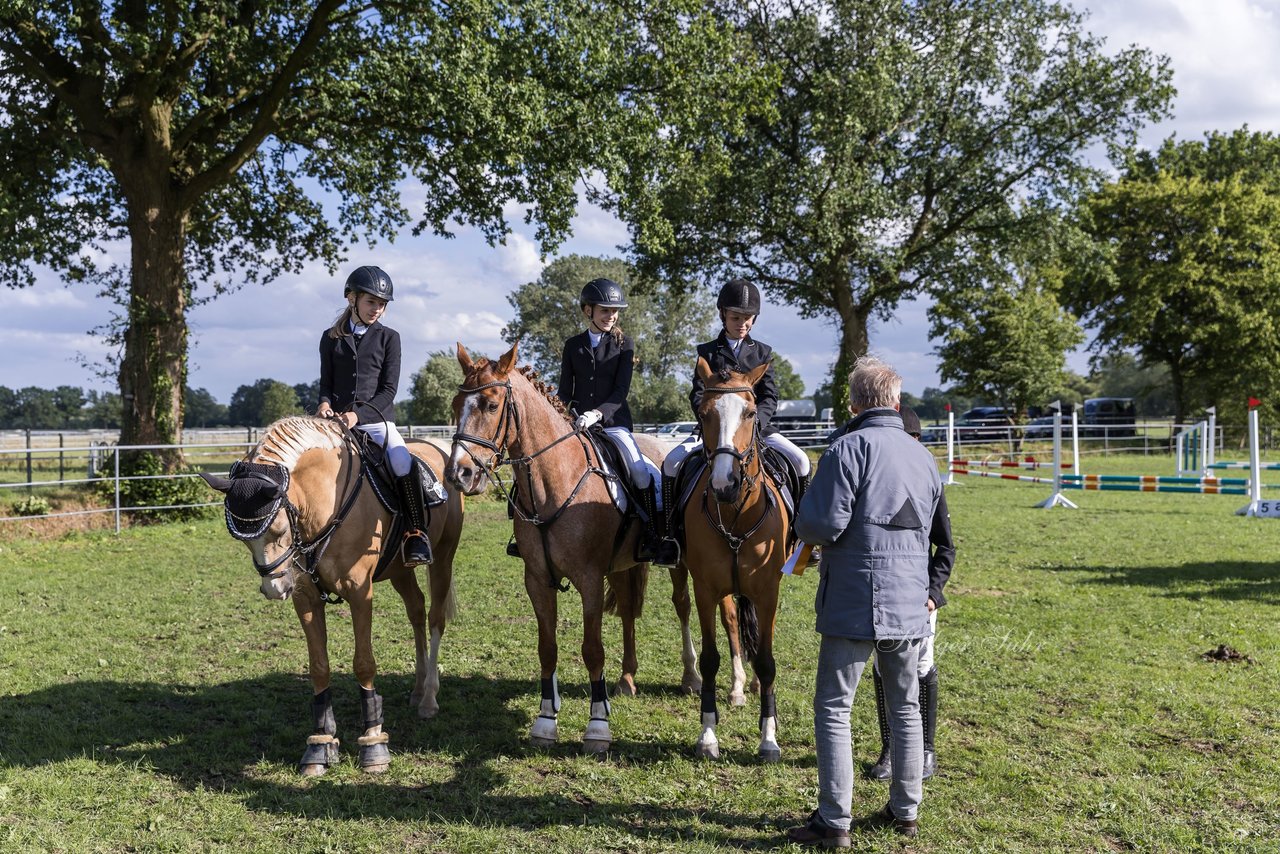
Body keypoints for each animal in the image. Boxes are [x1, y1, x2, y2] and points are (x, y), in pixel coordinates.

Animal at [197, 417, 463, 778]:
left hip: (443, 558)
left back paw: (429, 699)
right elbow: (319, 667)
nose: (275, 589)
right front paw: (320, 744)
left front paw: (374, 743)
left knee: (435, 618)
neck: (325, 503)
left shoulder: (360, 592)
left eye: (279, 529)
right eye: (242, 540)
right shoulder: (306, 598)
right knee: (416, 610)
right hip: (400, 570)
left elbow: (363, 663)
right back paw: (419, 687)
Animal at [442, 340, 701, 752]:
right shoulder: (537, 580)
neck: (554, 483)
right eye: (455, 405)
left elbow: (592, 649)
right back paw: (627, 679)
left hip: (678, 562)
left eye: (492, 406)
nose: (458, 474)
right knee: (628, 610)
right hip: (624, 564)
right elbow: (547, 649)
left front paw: (597, 728)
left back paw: (691, 677)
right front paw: (545, 722)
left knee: (682, 605)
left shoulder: (589, 579)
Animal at [686, 355, 793, 763]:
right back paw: (736, 688)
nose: (724, 484)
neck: (736, 514)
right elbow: (710, 658)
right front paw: (707, 736)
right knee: (732, 623)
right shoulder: (704, 588)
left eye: (750, 412)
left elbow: (766, 661)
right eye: (703, 413)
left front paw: (769, 740)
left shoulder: (767, 592)